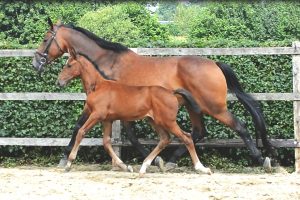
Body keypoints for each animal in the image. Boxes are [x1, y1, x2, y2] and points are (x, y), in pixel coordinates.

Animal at [56, 50, 211, 175]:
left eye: (69, 65)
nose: (59, 82)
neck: (98, 86)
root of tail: (171, 92)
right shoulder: (107, 120)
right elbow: (106, 142)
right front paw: (125, 167)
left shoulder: (96, 115)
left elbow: (81, 132)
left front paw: (69, 163)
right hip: (154, 121)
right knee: (165, 139)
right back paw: (144, 167)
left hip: (168, 121)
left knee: (186, 138)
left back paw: (201, 168)